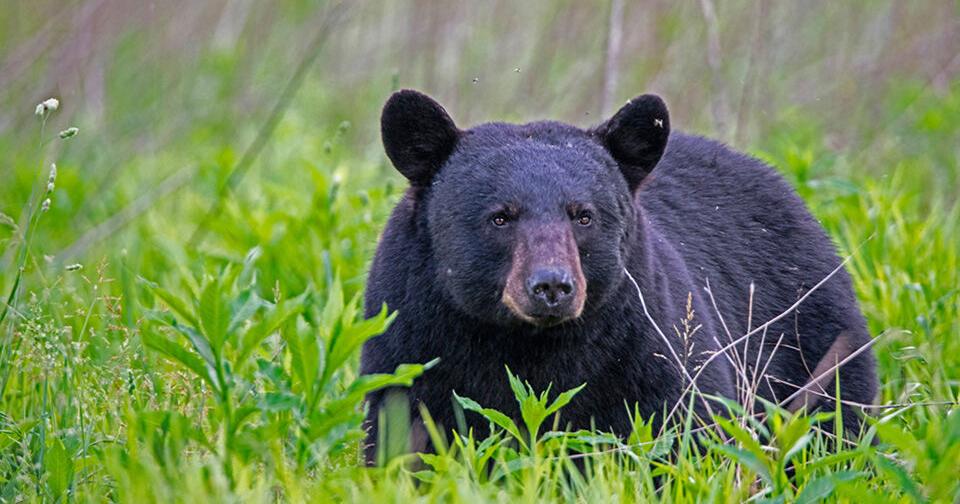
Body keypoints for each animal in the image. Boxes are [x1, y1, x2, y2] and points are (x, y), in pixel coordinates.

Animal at [360, 89, 878, 465]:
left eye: (583, 215)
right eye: (500, 217)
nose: (552, 286)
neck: (528, 344)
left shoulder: (645, 345)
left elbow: (686, 432)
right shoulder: (413, 339)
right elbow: (404, 434)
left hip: (812, 346)